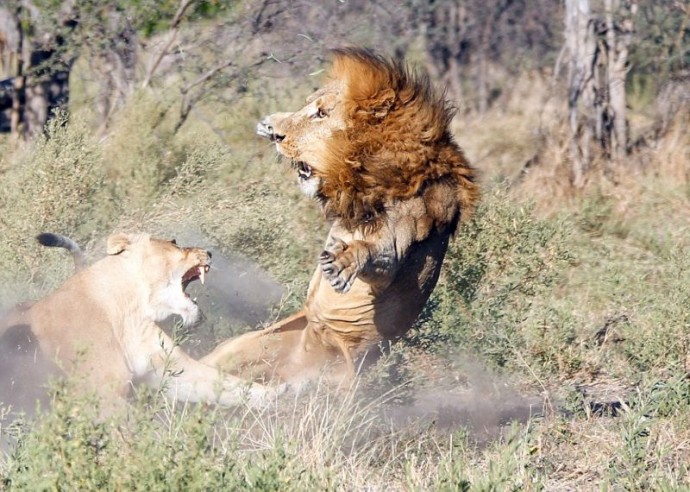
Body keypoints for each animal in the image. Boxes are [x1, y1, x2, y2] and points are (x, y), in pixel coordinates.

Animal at [1, 233, 280, 406]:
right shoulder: (105, 396)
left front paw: (282, 398)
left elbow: (229, 385)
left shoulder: (170, 369)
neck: (129, 310)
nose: (208, 252)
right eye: (174, 242)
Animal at [202, 46, 476, 384]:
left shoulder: (400, 243)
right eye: (306, 106)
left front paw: (342, 263)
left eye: (322, 114)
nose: (276, 135)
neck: (363, 172)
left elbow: (375, 253)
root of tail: (311, 344)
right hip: (241, 347)